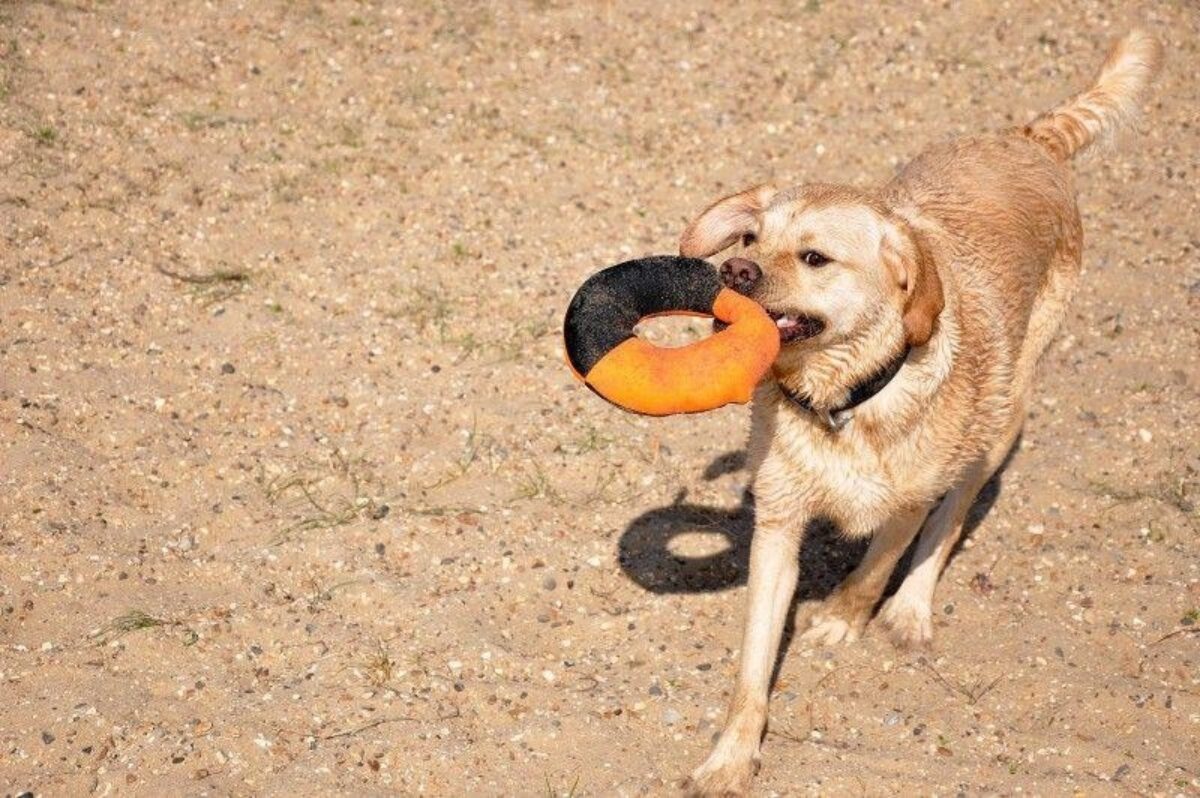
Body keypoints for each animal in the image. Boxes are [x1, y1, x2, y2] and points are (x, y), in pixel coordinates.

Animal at [681, 29, 1156, 792]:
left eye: (815, 258)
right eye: (750, 239)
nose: (735, 272)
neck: (844, 400)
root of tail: (1032, 138)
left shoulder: (905, 501)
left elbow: (880, 563)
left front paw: (844, 619)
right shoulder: (778, 518)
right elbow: (752, 666)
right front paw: (730, 758)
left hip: (1002, 415)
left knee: (955, 512)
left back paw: (910, 608)